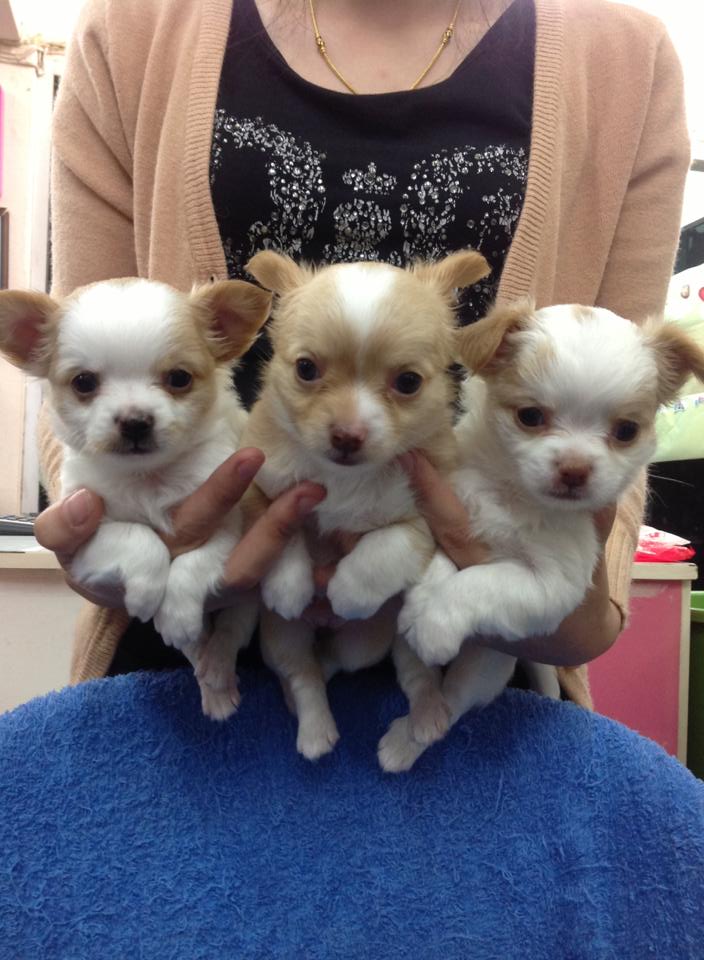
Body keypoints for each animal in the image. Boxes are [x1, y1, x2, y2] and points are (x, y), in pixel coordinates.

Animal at [0, 277, 271, 718]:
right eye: (84, 383)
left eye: (179, 378)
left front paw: (177, 611)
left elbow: (196, 562)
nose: (135, 422)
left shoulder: (235, 518)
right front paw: (147, 592)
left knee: (230, 631)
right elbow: (137, 537)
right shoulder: (84, 533)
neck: (149, 478)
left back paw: (216, 673)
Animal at [239, 248, 491, 763]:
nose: (347, 436)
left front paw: (349, 589)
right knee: (304, 672)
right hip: (283, 636)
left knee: (391, 671)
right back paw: (315, 729)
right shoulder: (265, 486)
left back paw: (423, 719)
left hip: (376, 640)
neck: (344, 480)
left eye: (408, 382)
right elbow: (281, 522)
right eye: (306, 369)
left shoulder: (428, 514)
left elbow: (385, 547)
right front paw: (288, 583)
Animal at [383, 301, 704, 770]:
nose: (574, 469)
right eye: (530, 417)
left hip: (486, 668)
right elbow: (443, 564)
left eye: (626, 431)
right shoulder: (449, 514)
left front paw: (436, 618)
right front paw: (423, 599)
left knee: (453, 699)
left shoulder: (552, 586)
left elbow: (479, 581)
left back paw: (411, 736)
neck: (515, 496)